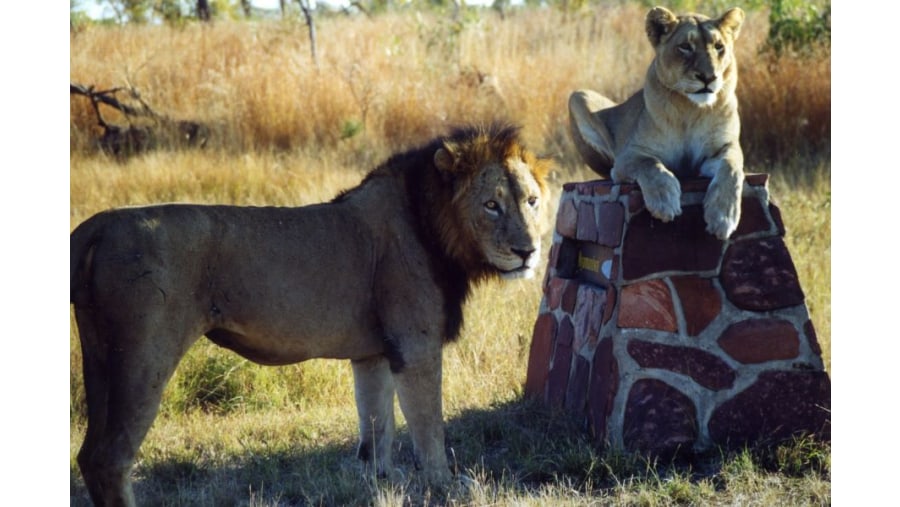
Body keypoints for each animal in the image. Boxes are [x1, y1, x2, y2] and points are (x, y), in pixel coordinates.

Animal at [70, 124, 548, 507]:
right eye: (491, 205)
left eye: (532, 201)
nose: (528, 251)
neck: (436, 226)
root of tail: (96, 227)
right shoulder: (416, 347)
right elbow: (429, 428)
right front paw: (444, 487)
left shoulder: (373, 353)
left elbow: (377, 428)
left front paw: (381, 483)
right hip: (143, 356)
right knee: (110, 459)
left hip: (99, 357)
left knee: (89, 455)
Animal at [568, 5, 744, 240]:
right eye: (685, 47)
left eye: (719, 47)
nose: (709, 77)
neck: (690, 109)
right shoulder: (629, 155)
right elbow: (650, 165)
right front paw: (664, 201)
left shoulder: (724, 147)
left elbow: (731, 168)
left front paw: (723, 217)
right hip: (578, 96)